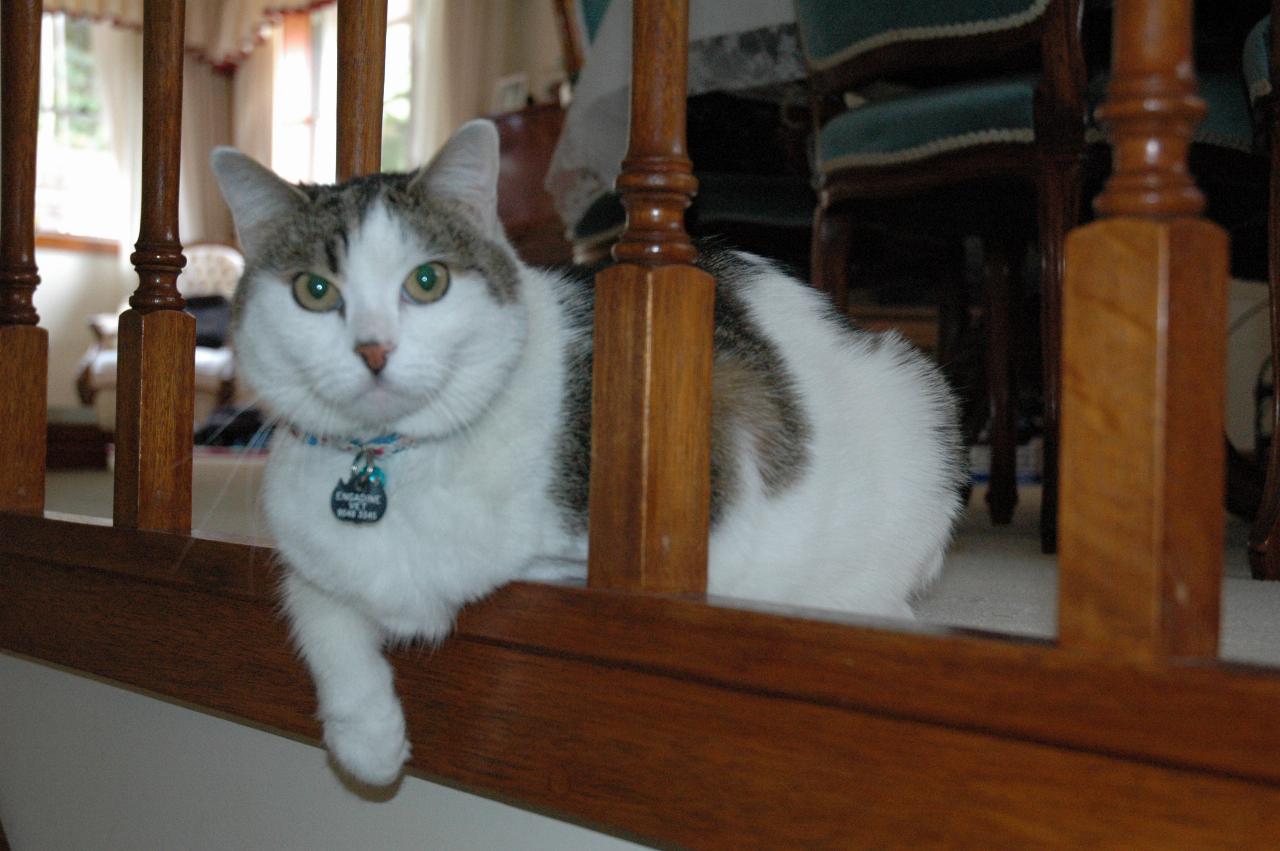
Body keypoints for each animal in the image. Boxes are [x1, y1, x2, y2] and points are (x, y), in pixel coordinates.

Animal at [209, 119, 962, 783]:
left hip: (917, 405)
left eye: (428, 281)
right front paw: (366, 737)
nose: (373, 349)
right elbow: (311, 597)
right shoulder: (308, 536)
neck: (392, 458)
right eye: (314, 291)